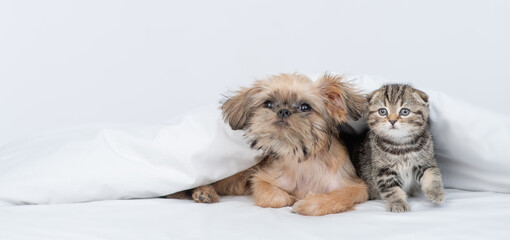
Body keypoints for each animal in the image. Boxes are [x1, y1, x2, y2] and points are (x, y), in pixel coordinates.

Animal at [173, 72, 368, 216]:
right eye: (268, 104)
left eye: (305, 107)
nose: (283, 111)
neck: (301, 159)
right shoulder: (260, 179)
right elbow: (277, 198)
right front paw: (291, 199)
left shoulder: (357, 188)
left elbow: (340, 196)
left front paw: (308, 204)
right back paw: (203, 192)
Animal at [352, 84, 444, 212]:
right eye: (382, 111)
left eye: (404, 111)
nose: (392, 121)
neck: (401, 146)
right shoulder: (383, 171)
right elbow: (392, 189)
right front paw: (398, 203)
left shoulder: (424, 161)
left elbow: (432, 173)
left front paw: (436, 192)